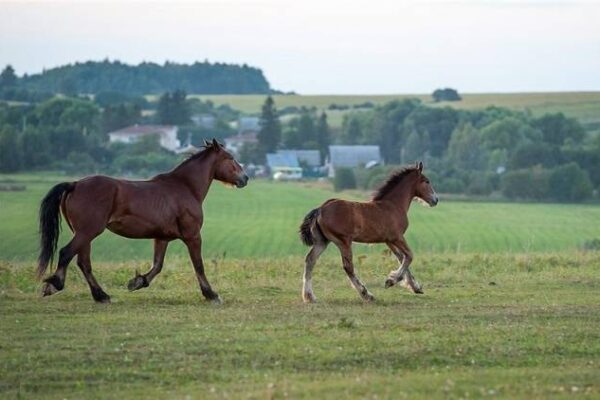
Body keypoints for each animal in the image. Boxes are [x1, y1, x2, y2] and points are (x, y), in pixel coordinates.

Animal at [37, 138, 248, 304]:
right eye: (230, 158)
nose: (245, 178)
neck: (185, 188)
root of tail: (74, 184)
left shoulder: (161, 238)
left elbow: (157, 265)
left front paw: (137, 282)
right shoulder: (193, 236)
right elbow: (198, 265)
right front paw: (211, 295)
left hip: (84, 234)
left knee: (83, 263)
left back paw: (101, 296)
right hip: (87, 232)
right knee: (67, 253)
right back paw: (55, 285)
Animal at [298, 161, 436, 302]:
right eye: (427, 181)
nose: (435, 200)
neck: (393, 205)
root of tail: (320, 209)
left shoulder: (389, 241)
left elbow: (401, 258)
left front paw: (415, 287)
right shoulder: (397, 237)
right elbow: (409, 256)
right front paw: (391, 281)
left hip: (322, 241)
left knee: (310, 260)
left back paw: (309, 296)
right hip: (343, 241)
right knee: (348, 267)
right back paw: (366, 294)